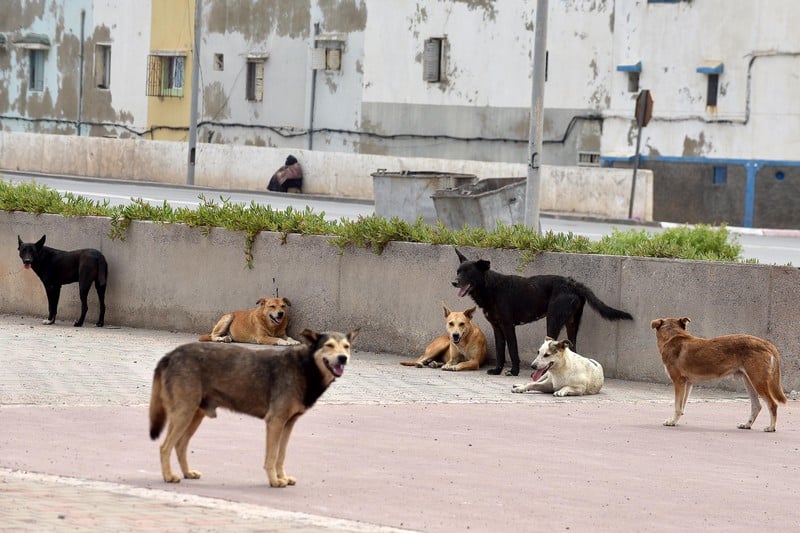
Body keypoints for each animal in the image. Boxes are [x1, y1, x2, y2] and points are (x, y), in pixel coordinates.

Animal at [152, 326, 358, 484]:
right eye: (329, 345)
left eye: (346, 347)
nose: (343, 358)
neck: (306, 367)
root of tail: (170, 354)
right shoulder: (275, 422)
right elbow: (272, 456)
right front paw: (274, 481)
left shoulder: (288, 425)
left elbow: (281, 456)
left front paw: (282, 477)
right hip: (184, 413)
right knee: (165, 447)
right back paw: (169, 476)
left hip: (194, 415)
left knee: (180, 445)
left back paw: (187, 473)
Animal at [648, 316, 788, 432]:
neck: (673, 335)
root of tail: (766, 343)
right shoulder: (688, 384)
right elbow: (682, 407)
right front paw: (676, 420)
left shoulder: (678, 382)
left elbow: (677, 406)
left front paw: (672, 422)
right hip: (749, 382)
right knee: (757, 406)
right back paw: (746, 425)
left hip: (758, 382)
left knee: (772, 404)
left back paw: (771, 427)